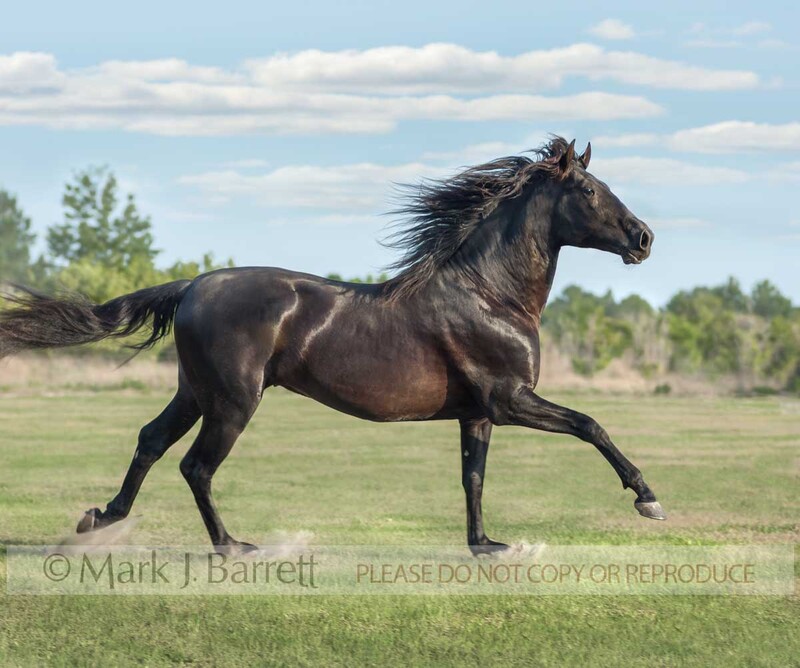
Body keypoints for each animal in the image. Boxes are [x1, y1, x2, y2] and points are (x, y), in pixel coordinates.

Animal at [0, 137, 664, 555]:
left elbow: (473, 479)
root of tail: (193, 285)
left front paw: (486, 546)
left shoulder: (478, 413)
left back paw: (100, 519)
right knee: (195, 466)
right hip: (233, 402)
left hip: (195, 392)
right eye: (590, 191)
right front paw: (648, 499)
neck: (488, 294)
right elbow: (592, 425)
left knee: (151, 442)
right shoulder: (510, 399)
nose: (644, 238)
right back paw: (233, 547)